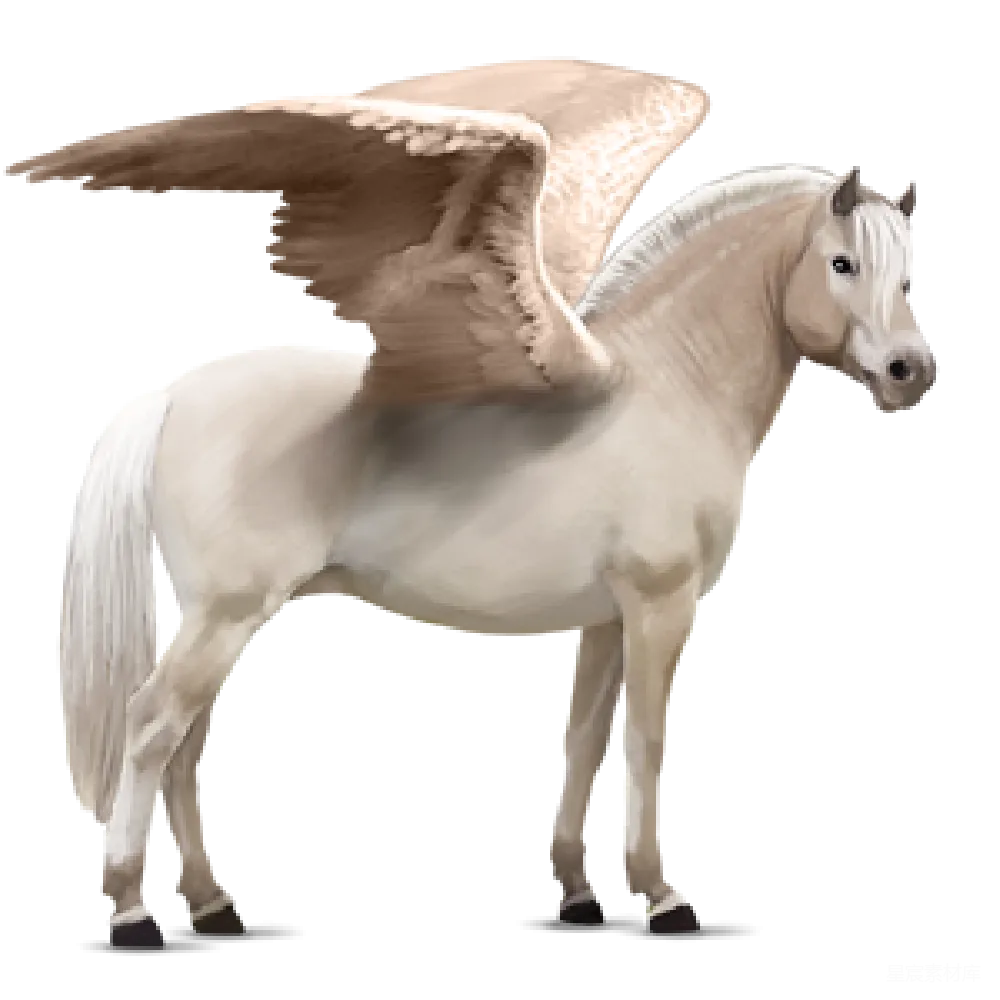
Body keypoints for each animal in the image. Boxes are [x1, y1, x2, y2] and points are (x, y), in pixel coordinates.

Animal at [18, 85, 931, 944]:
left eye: (910, 277)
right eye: (843, 263)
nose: (909, 373)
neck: (672, 386)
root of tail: (171, 395)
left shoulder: (604, 619)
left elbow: (583, 735)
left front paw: (577, 888)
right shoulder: (658, 609)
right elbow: (644, 740)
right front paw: (660, 893)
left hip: (221, 617)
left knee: (184, 744)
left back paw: (210, 904)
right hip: (228, 614)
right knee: (150, 726)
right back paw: (131, 906)